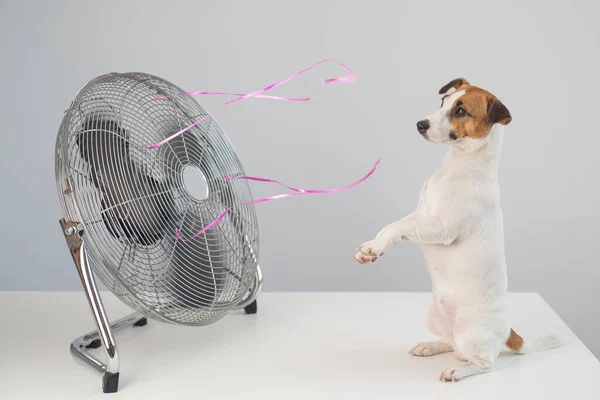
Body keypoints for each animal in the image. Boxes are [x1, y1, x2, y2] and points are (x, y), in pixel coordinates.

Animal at [352, 78, 564, 382]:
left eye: (461, 111)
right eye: (443, 102)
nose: (420, 124)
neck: (458, 165)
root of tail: (507, 332)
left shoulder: (439, 228)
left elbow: (399, 228)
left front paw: (374, 247)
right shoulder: (421, 215)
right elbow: (393, 225)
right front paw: (370, 248)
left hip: (471, 333)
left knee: (484, 363)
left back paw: (458, 371)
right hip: (434, 318)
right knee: (450, 343)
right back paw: (430, 346)